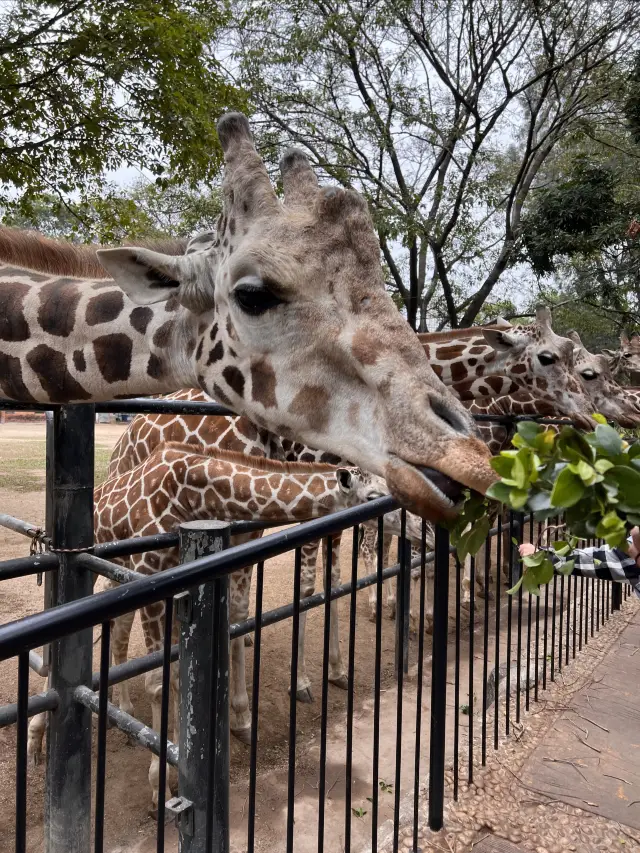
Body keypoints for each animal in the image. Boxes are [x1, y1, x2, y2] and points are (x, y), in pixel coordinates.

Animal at [25, 442, 422, 816]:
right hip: (92, 568)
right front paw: (158, 787)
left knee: (117, 629)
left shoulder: (172, 581)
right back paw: (37, 738)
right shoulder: (150, 573)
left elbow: (174, 676)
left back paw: (117, 709)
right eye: (372, 496)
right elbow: (158, 685)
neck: (190, 494)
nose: (421, 527)